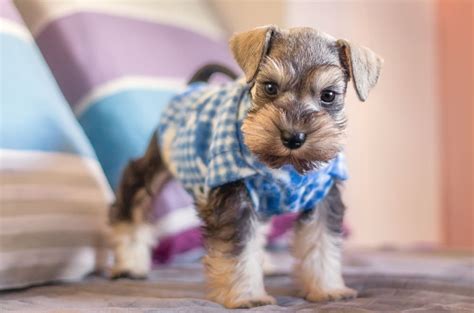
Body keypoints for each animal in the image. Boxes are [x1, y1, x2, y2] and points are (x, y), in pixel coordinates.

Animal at [109, 25, 384, 308]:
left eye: (328, 95)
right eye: (270, 86)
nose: (293, 138)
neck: (285, 169)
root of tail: (194, 85)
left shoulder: (323, 198)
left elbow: (322, 245)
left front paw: (327, 289)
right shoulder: (234, 200)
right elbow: (238, 251)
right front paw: (247, 296)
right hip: (155, 164)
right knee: (133, 202)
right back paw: (129, 264)